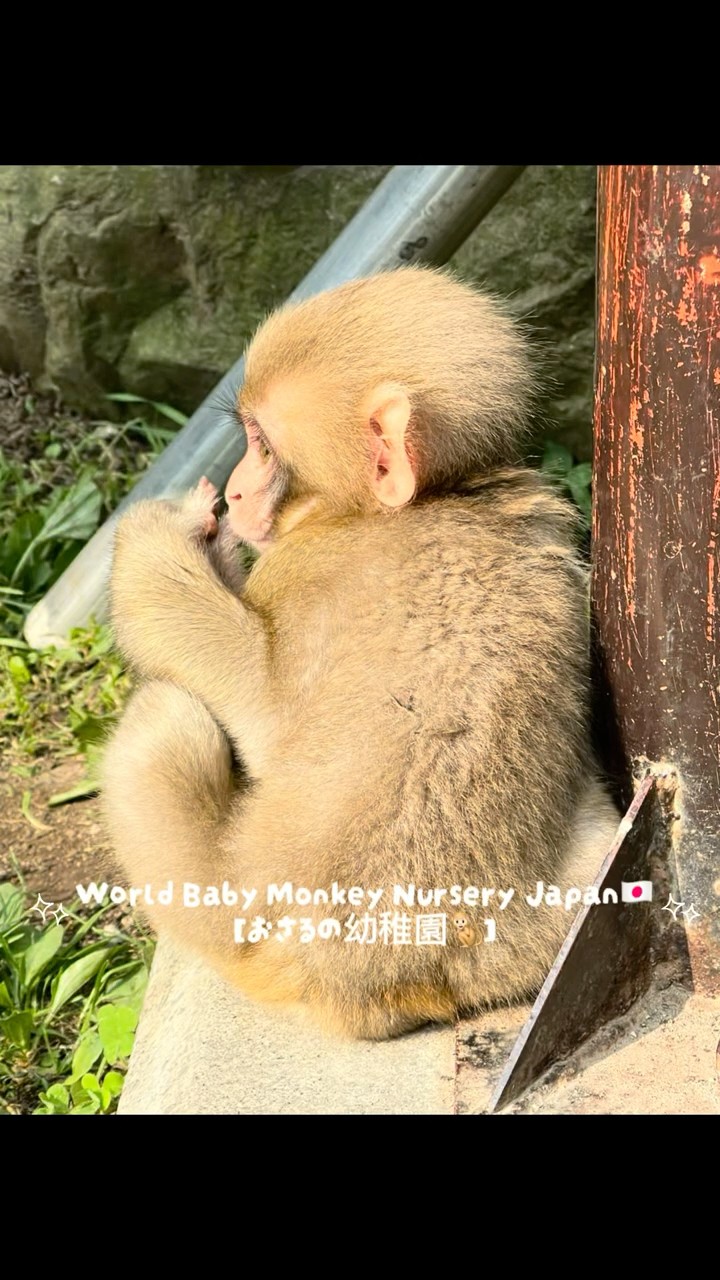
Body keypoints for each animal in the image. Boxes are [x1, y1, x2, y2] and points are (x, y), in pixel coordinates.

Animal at [101, 266, 620, 1040]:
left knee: (167, 717)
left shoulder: (304, 569)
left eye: (260, 443)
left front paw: (179, 529)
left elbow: (252, 704)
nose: (235, 491)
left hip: (224, 913)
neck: (429, 502)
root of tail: (366, 976)